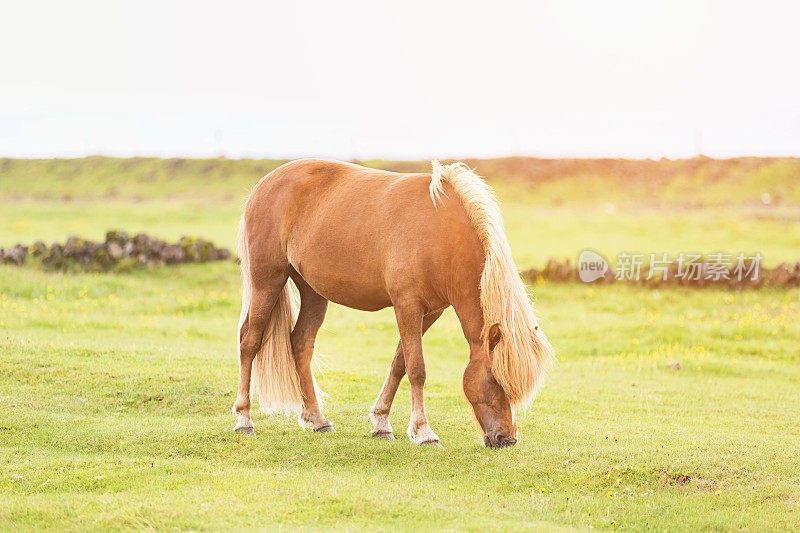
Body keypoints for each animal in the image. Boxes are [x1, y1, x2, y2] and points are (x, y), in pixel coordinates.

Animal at [233, 158, 556, 444]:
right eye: (495, 381)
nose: (506, 438)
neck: (441, 235)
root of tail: (264, 184)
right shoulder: (407, 306)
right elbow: (417, 368)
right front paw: (424, 432)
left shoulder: (431, 312)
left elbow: (399, 363)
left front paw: (381, 423)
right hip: (267, 281)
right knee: (250, 341)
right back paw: (244, 419)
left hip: (314, 292)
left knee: (301, 344)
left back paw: (318, 420)